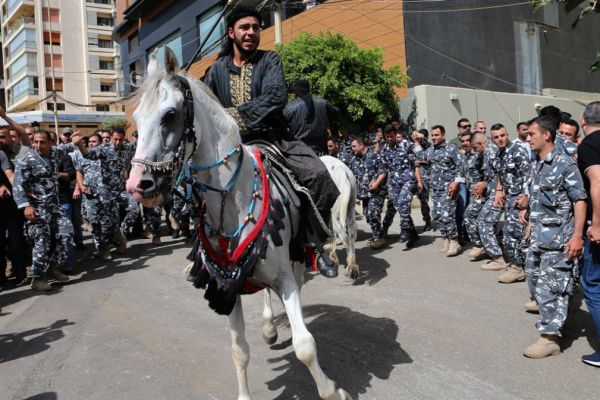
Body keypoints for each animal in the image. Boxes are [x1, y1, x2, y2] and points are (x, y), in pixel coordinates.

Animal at [125, 50, 352, 400]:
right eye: (136, 120)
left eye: (170, 115)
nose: (138, 185)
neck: (231, 200)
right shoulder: (225, 285)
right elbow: (239, 351)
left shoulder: (284, 275)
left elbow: (304, 345)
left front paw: (332, 391)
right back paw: (270, 327)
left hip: (299, 253)